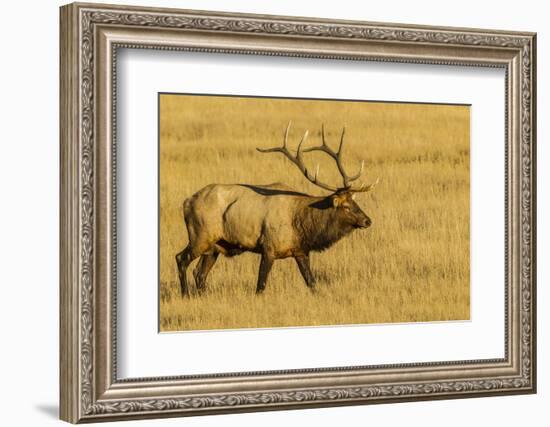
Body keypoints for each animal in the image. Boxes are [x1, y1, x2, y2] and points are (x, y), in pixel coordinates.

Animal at [177, 120, 380, 294]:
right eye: (345, 206)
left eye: (355, 201)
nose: (367, 220)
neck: (302, 225)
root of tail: (186, 202)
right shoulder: (268, 247)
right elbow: (260, 286)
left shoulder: (300, 251)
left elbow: (312, 283)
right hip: (200, 236)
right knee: (181, 259)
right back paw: (185, 294)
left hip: (215, 245)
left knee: (200, 273)